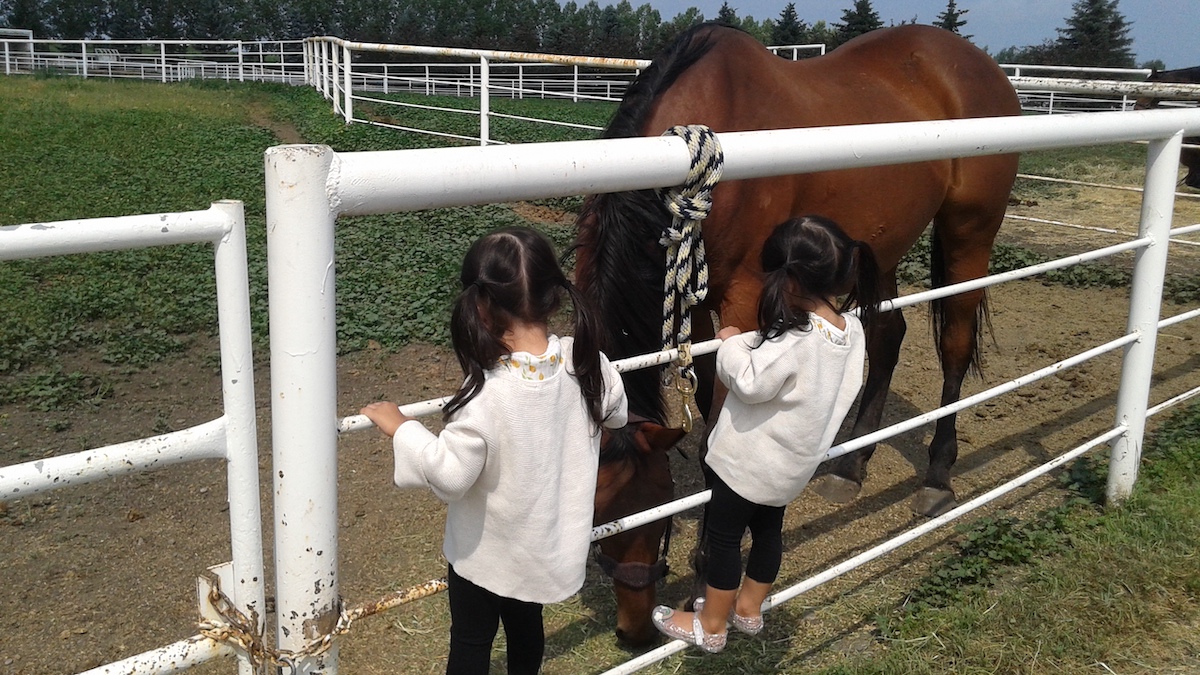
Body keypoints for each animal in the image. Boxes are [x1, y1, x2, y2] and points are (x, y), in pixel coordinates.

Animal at [576, 22, 1017, 648]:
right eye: (597, 515)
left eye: (651, 508)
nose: (633, 631)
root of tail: (977, 63)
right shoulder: (702, 305)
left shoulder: (742, 294)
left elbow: (718, 422)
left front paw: (711, 557)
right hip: (880, 246)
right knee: (888, 335)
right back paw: (850, 467)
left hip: (969, 232)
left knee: (954, 341)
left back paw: (937, 475)